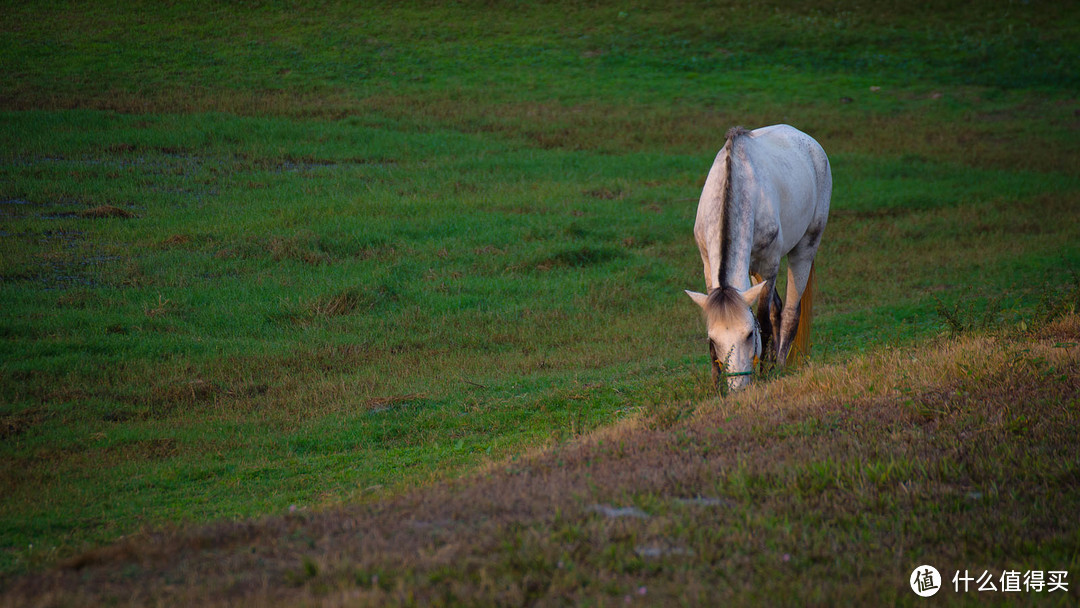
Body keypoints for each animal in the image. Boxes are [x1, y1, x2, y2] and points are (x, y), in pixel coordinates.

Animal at [686, 124, 829, 390]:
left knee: (789, 312)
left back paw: (779, 365)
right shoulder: (708, 265)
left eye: (749, 334)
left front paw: (765, 373)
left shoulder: (769, 264)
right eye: (713, 338)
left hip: (805, 248)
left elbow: (764, 319)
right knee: (778, 308)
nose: (738, 387)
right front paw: (715, 384)